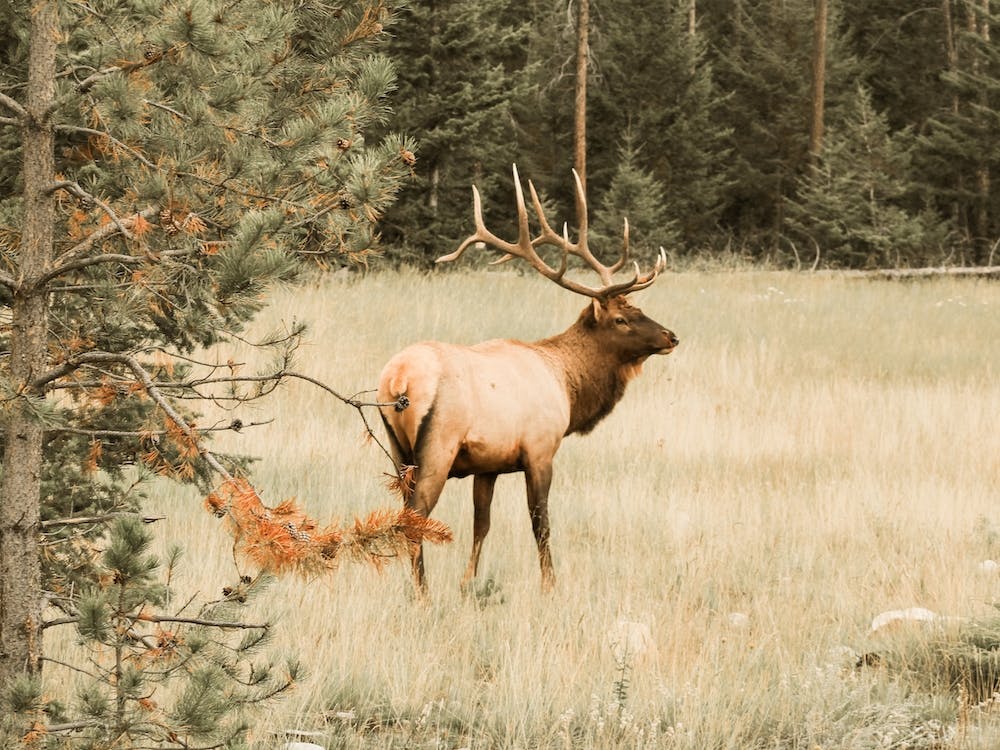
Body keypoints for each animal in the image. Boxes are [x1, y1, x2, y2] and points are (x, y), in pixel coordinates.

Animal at [377, 165, 679, 594]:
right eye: (621, 319)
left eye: (638, 308)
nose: (671, 336)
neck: (567, 386)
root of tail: (398, 378)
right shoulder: (540, 449)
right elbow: (541, 524)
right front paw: (550, 584)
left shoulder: (488, 464)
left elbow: (482, 524)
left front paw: (468, 582)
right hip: (437, 445)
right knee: (416, 517)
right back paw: (423, 593)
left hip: (395, 447)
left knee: (403, 514)